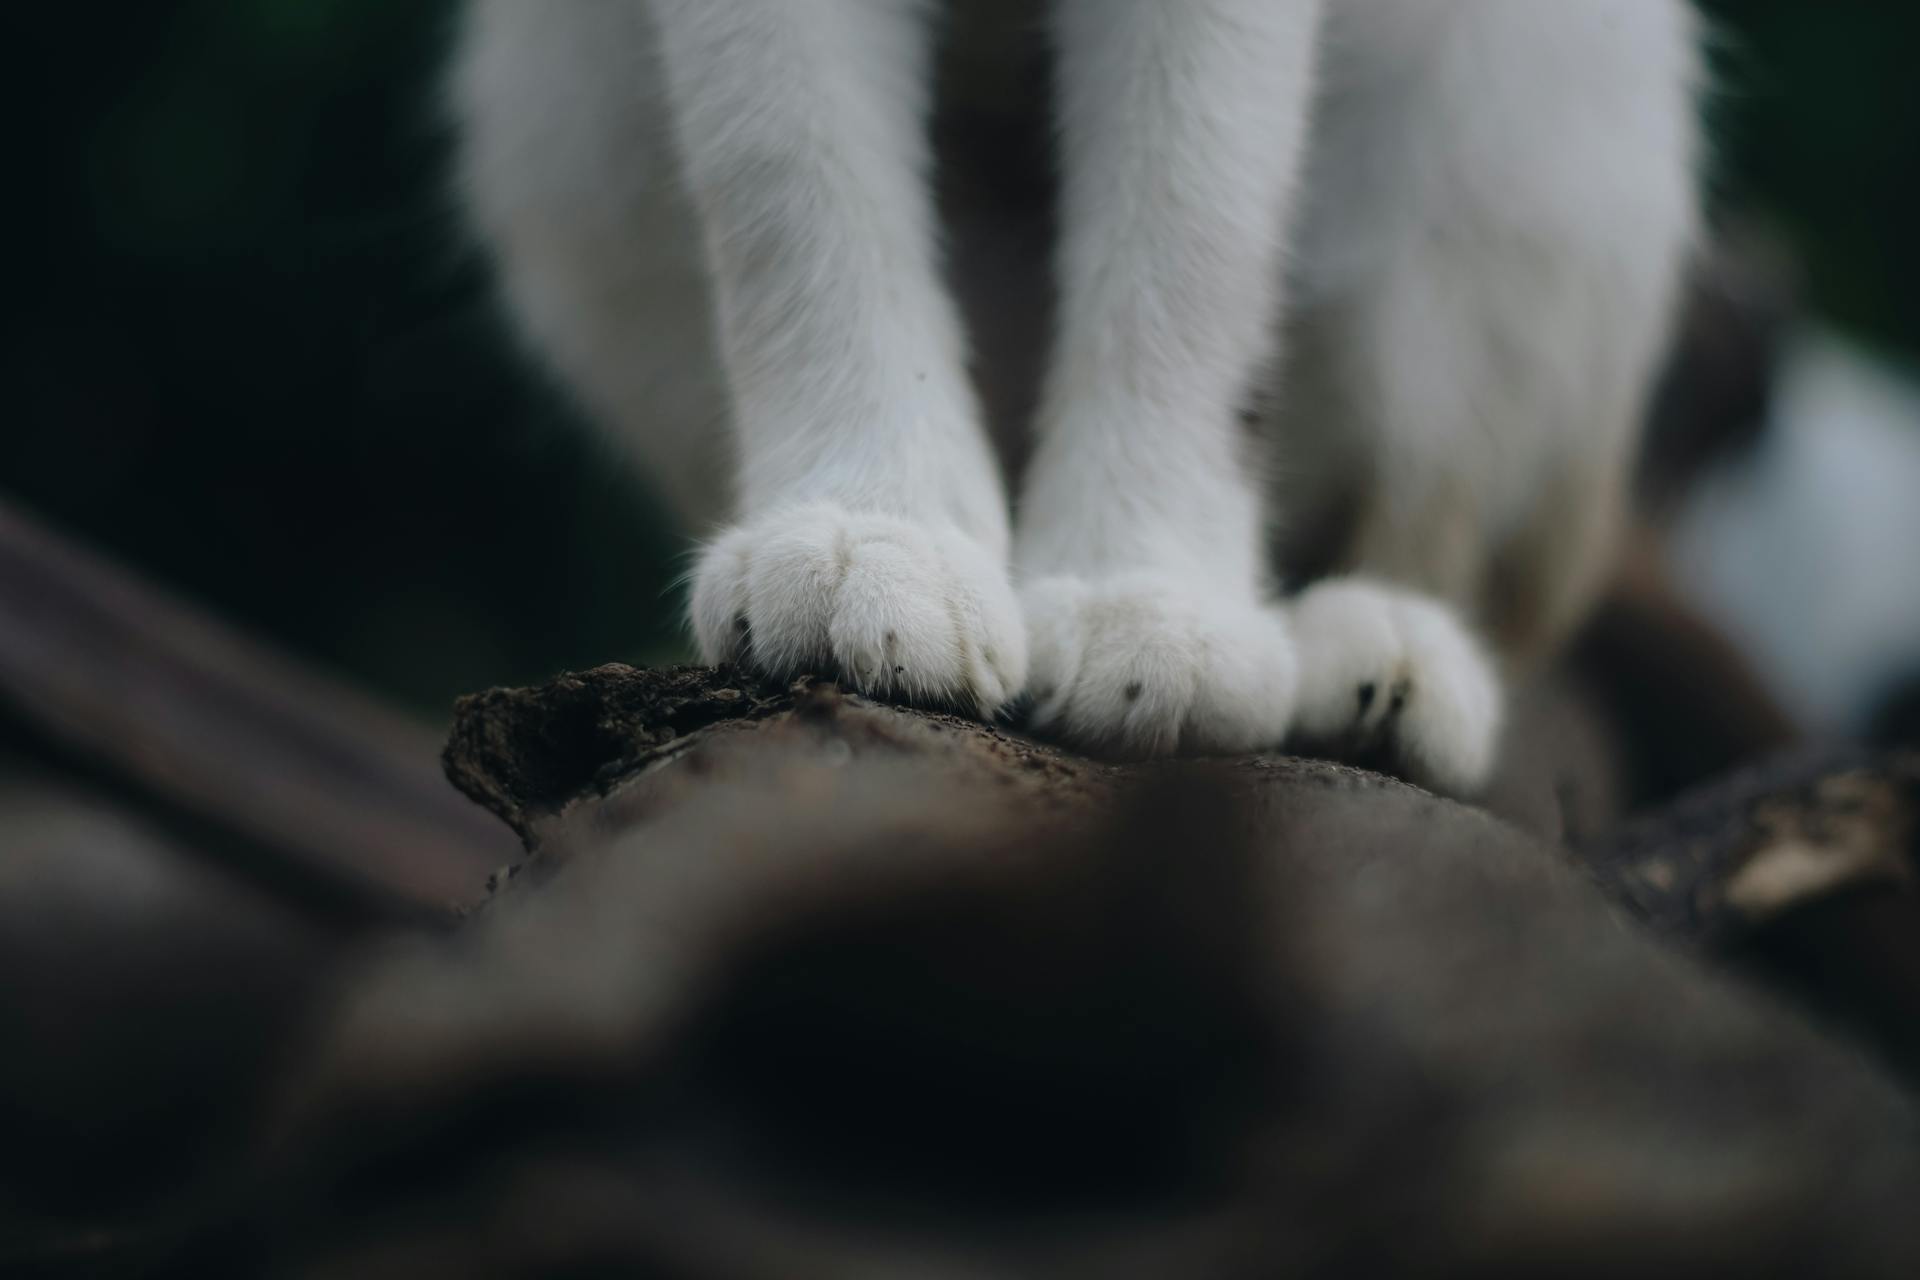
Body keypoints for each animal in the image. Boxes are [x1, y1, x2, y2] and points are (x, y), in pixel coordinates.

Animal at [449, 0, 1697, 794]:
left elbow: (1191, 215)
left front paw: (1150, 592)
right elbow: (788, 173)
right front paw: (875, 528)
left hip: (1527, 115)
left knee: (1433, 514)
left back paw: (1383, 664)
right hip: (559, 106)